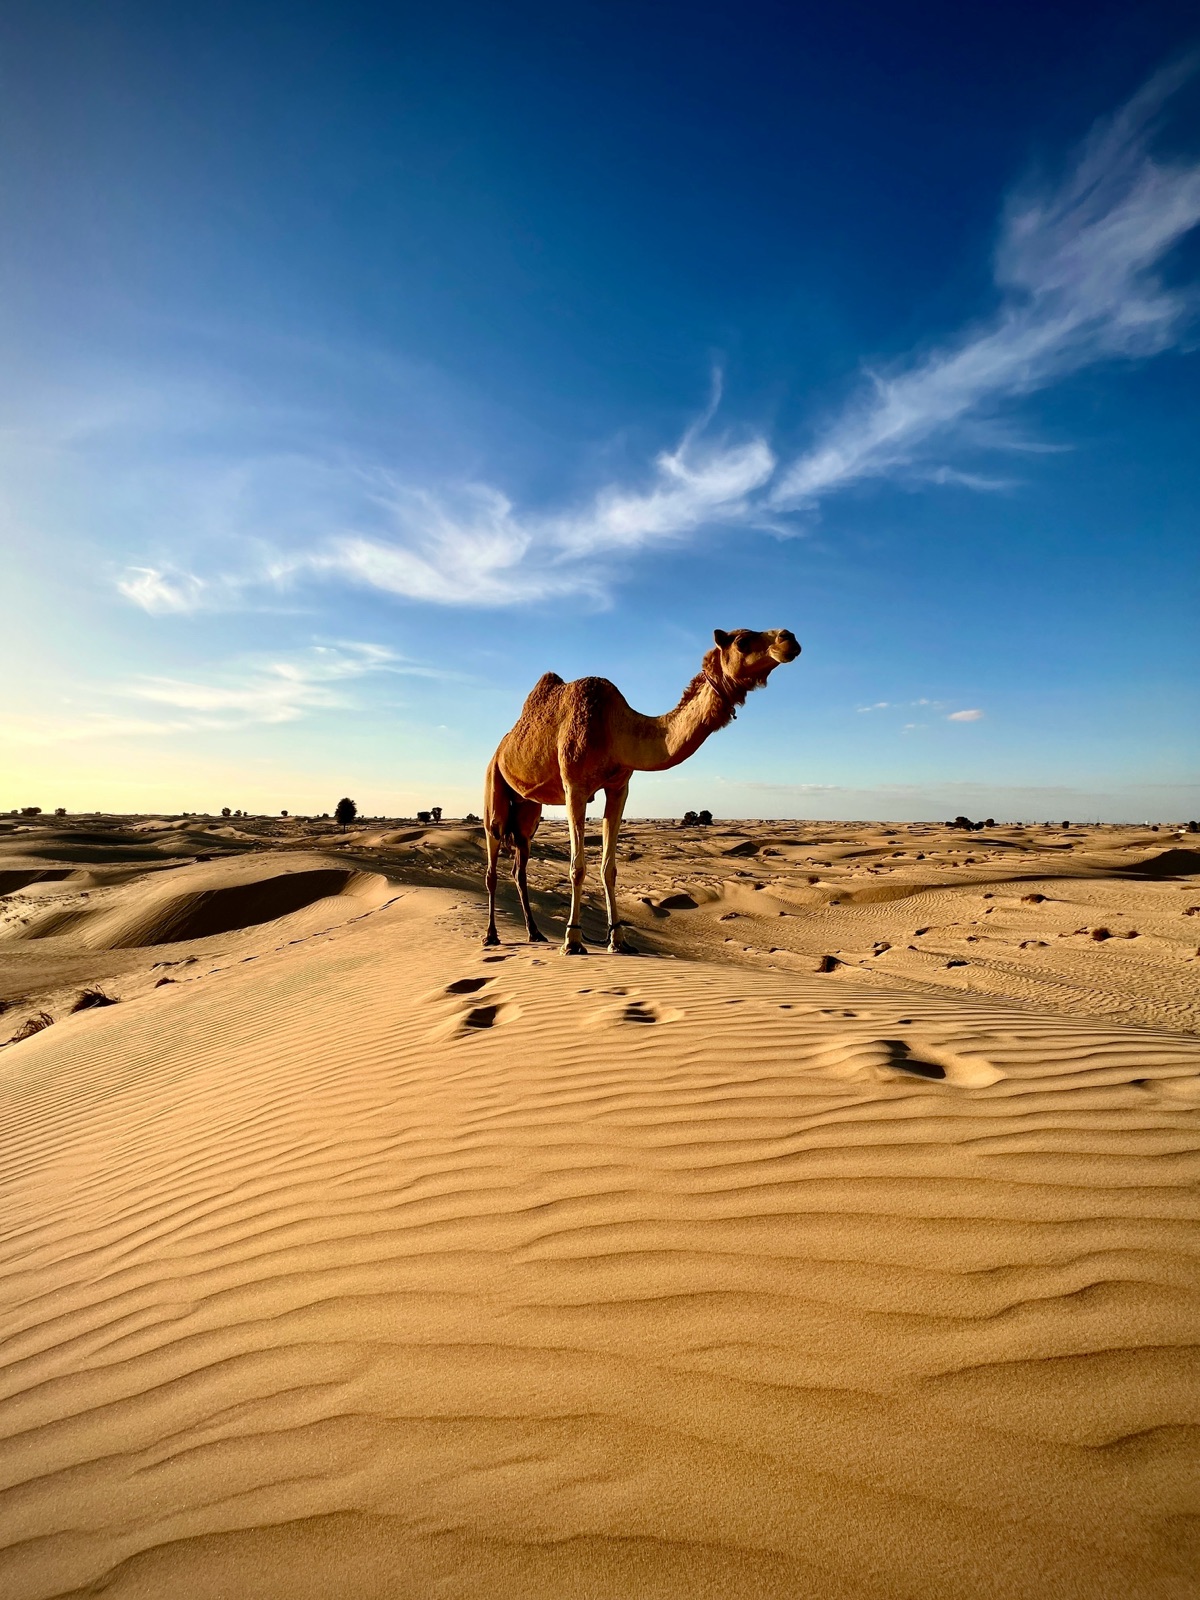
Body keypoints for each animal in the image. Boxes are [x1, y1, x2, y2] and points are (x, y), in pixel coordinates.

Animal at [483, 627, 800, 954]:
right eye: (742, 641)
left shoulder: (619, 787)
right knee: (492, 857)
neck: (613, 728)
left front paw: (618, 940)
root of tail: (501, 748)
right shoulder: (575, 786)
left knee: (519, 865)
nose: (788, 638)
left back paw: (535, 933)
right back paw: (492, 935)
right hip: (494, 782)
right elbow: (577, 867)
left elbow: (609, 869)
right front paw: (572, 940)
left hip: (528, 810)